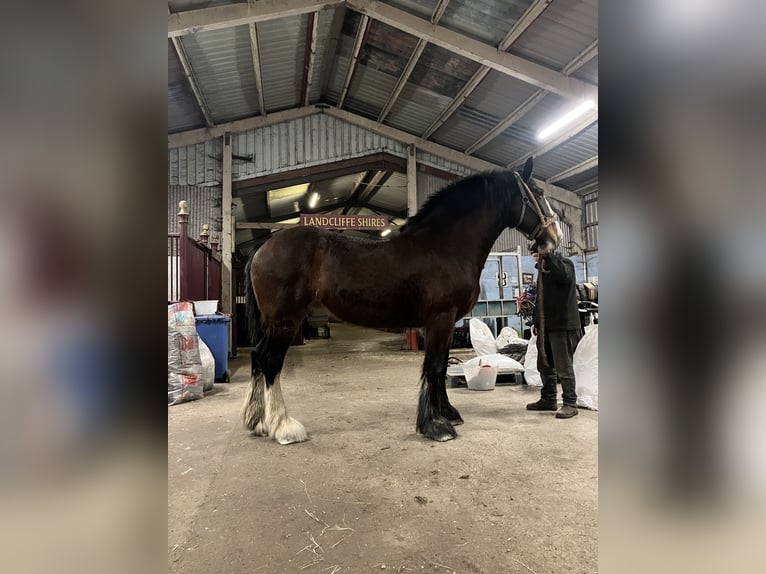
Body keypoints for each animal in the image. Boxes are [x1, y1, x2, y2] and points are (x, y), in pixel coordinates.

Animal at [241, 157, 561, 444]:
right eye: (538, 193)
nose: (555, 237)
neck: (444, 246)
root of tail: (263, 248)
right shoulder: (440, 319)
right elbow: (434, 367)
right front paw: (436, 426)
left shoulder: (445, 324)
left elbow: (441, 368)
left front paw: (447, 413)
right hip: (286, 320)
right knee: (270, 360)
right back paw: (284, 427)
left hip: (273, 322)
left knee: (258, 356)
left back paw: (257, 422)